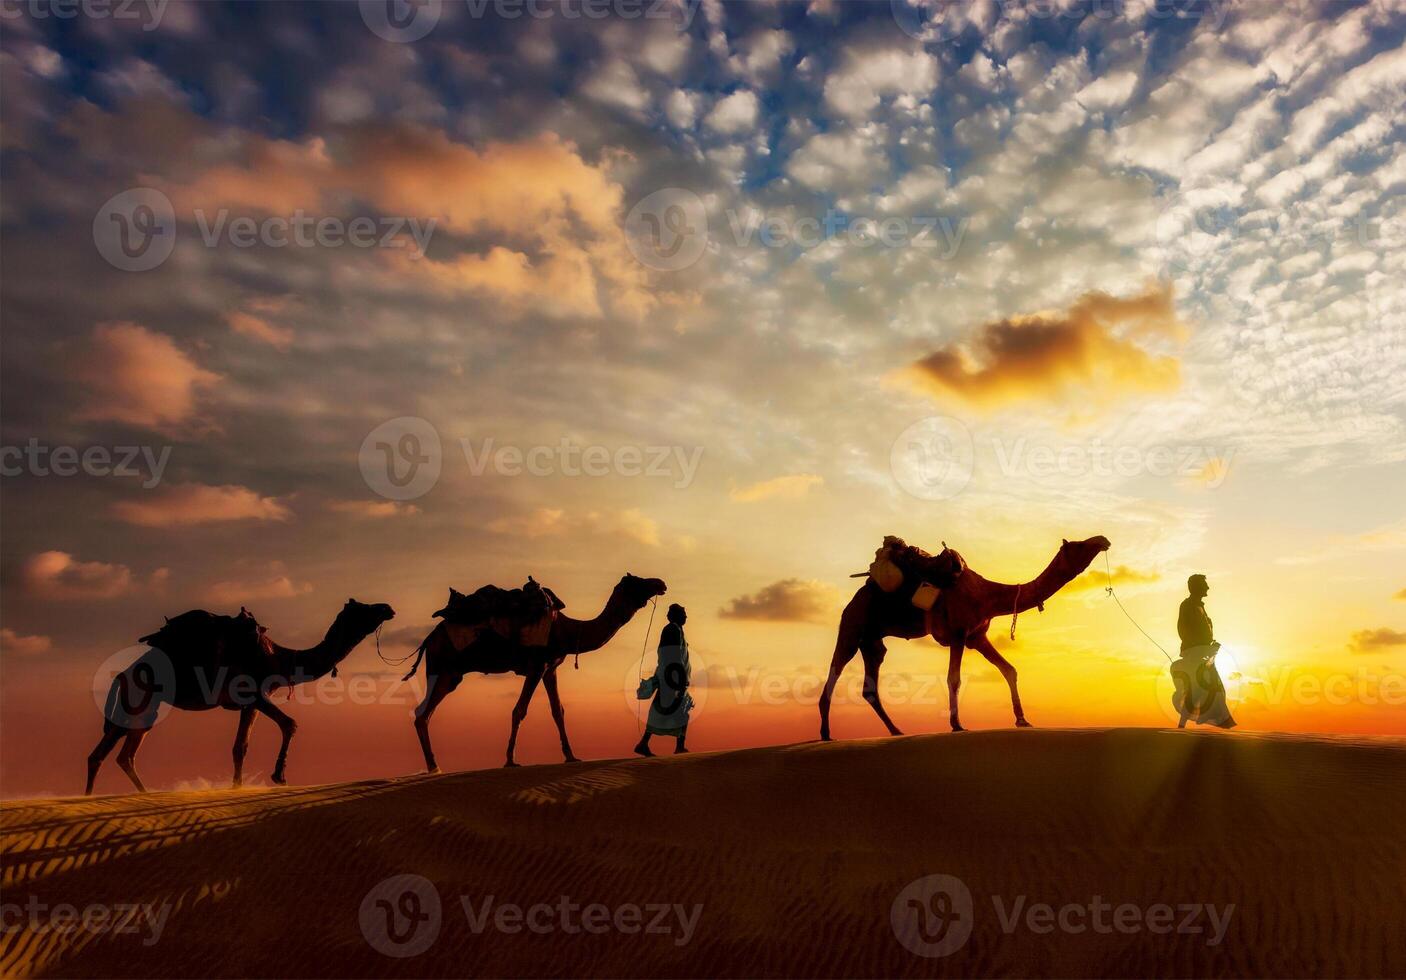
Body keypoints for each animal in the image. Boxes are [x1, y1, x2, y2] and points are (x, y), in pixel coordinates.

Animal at [85, 596, 396, 792]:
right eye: (364, 609)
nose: (388, 607)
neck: (281, 658)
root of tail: (122, 675)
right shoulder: (255, 692)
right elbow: (290, 724)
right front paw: (279, 776)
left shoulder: (250, 703)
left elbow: (240, 747)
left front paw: (238, 787)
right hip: (137, 701)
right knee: (102, 755)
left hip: (146, 709)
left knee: (120, 755)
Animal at [404, 573, 666, 770]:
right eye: (637, 581)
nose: (660, 583)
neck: (566, 630)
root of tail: (428, 639)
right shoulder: (537, 665)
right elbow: (519, 710)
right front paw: (510, 760)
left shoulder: (550, 668)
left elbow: (558, 711)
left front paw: (571, 756)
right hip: (445, 669)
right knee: (423, 714)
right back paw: (433, 766)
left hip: (449, 674)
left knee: (423, 712)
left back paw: (433, 765)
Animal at [821, 539, 1107, 736]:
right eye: (1080, 545)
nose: (1103, 539)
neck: (987, 595)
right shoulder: (958, 633)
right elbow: (954, 679)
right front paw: (957, 724)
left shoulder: (977, 637)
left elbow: (1009, 669)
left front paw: (1022, 719)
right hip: (852, 625)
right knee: (836, 667)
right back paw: (825, 733)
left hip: (872, 641)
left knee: (870, 685)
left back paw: (896, 731)